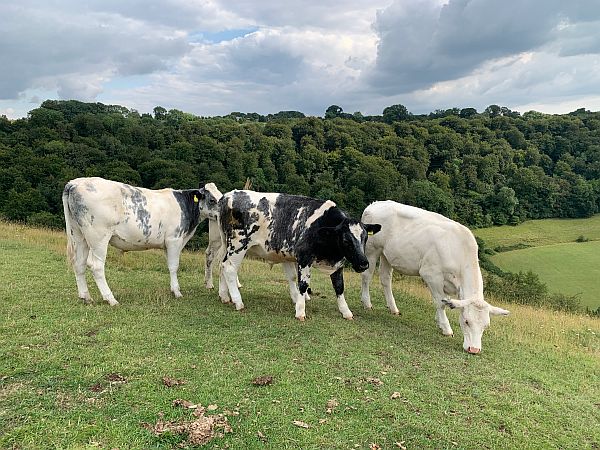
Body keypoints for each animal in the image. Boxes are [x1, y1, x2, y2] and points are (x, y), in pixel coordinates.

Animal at [61, 178, 206, 304]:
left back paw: (85, 297)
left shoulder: (168, 244)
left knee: (79, 263)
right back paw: (110, 299)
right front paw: (177, 292)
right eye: (209, 198)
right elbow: (174, 266)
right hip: (98, 236)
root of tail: (75, 183)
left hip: (79, 235)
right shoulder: (174, 239)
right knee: (96, 266)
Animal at [358, 201, 508, 356]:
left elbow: (445, 300)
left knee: (385, 278)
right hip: (372, 249)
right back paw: (367, 303)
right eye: (466, 321)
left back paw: (393, 308)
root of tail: (375, 204)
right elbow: (440, 303)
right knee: (367, 276)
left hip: (387, 254)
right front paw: (446, 328)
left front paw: (439, 320)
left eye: (486, 325)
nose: (474, 349)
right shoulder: (431, 274)